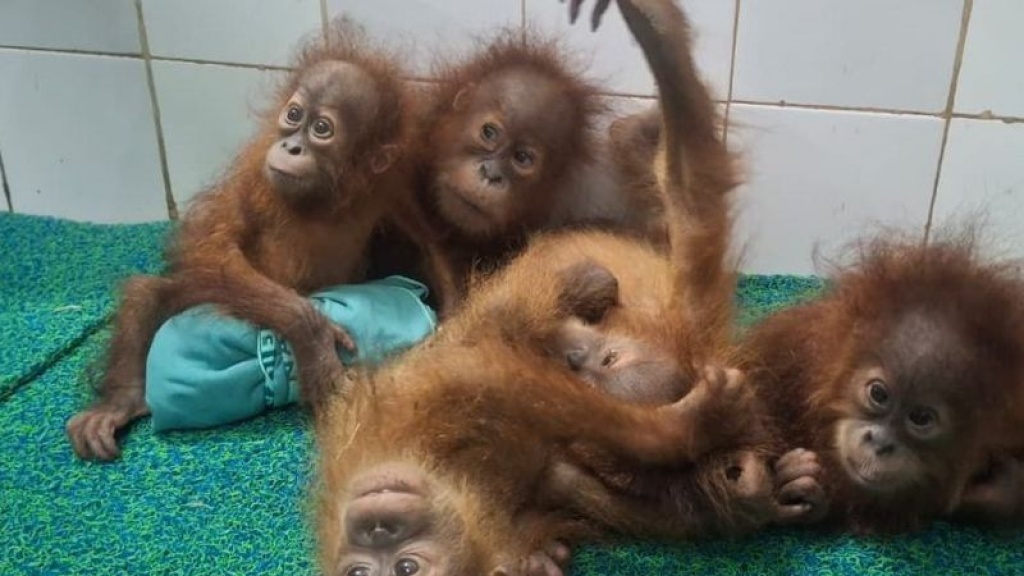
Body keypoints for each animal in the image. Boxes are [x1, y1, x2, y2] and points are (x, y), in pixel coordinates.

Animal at [65, 23, 453, 461]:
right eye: (294, 115)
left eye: (322, 129)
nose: (291, 146)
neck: (323, 199)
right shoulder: (255, 173)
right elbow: (214, 247)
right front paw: (313, 338)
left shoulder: (389, 180)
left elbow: (423, 238)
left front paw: (456, 318)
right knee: (150, 294)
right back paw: (120, 402)